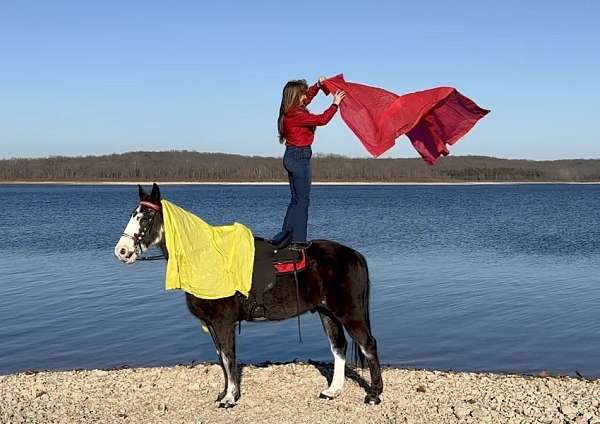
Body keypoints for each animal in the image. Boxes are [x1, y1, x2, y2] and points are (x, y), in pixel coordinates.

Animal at [115, 183, 382, 408]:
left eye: (146, 217)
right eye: (132, 214)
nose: (122, 251)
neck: (206, 259)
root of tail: (354, 255)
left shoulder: (223, 322)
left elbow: (229, 357)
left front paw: (230, 399)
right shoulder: (212, 325)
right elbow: (222, 358)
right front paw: (224, 393)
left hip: (349, 313)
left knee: (368, 344)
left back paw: (374, 394)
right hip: (327, 313)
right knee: (339, 347)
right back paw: (332, 391)